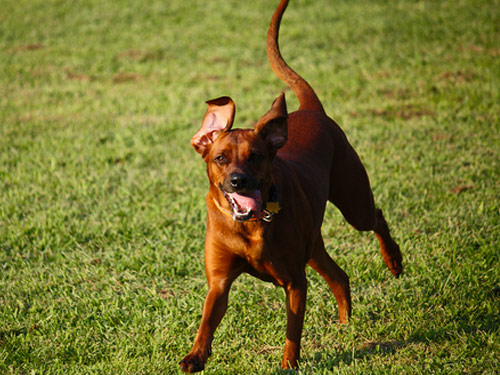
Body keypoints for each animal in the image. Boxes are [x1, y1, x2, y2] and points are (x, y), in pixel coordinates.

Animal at [180, 0, 402, 372]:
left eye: (255, 156)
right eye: (220, 158)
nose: (239, 180)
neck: (251, 225)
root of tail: (311, 109)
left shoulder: (295, 281)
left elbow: (292, 330)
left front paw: (289, 363)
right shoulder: (220, 281)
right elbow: (207, 320)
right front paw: (195, 356)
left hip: (353, 203)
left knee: (376, 218)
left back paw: (394, 260)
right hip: (313, 246)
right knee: (340, 276)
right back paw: (345, 325)